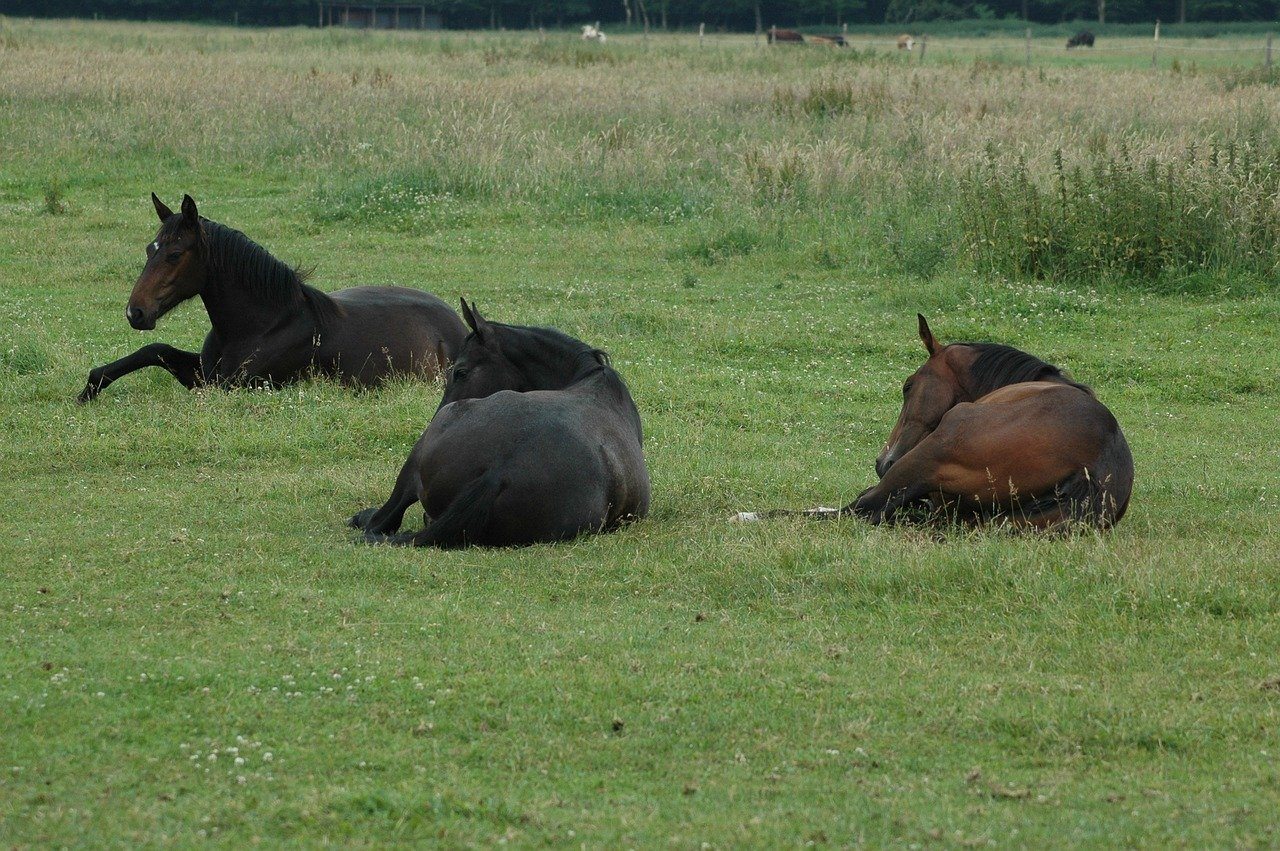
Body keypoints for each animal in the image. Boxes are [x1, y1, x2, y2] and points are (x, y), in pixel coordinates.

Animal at [76, 191, 465, 401]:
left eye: (174, 254)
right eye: (149, 249)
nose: (136, 313)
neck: (262, 325)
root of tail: (458, 324)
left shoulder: (230, 387)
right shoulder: (204, 372)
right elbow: (156, 351)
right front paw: (88, 391)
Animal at [737, 314, 1136, 527]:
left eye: (907, 386)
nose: (883, 461)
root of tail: (1091, 471)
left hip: (926, 455)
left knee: (859, 509)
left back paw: (747, 515)